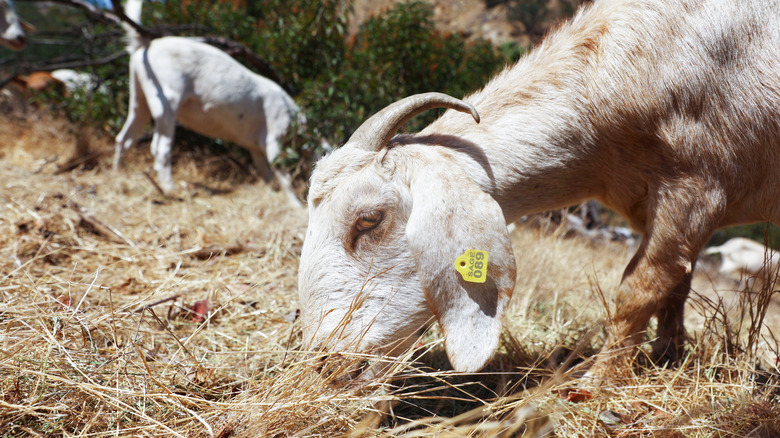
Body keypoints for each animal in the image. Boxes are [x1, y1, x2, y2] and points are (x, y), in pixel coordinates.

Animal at [114, 0, 304, 205]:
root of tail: (148, 44)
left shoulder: (257, 151)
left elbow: (267, 175)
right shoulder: (273, 142)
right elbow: (284, 177)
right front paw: (296, 205)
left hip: (139, 103)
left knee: (124, 139)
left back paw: (118, 174)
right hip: (166, 104)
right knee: (160, 149)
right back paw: (170, 189)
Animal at [298, 0, 780, 378]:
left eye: (369, 219)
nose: (324, 362)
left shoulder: (698, 187)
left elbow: (640, 287)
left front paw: (598, 383)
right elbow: (676, 286)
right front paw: (667, 357)